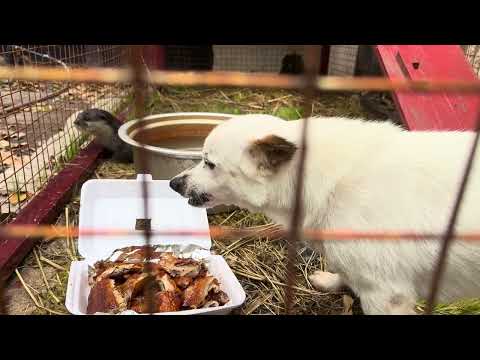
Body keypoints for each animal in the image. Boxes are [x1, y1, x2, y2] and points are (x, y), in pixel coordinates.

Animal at [170, 114, 480, 314]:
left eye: (209, 163)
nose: (174, 183)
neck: (335, 184)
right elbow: (345, 272)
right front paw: (333, 282)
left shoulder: (388, 295)